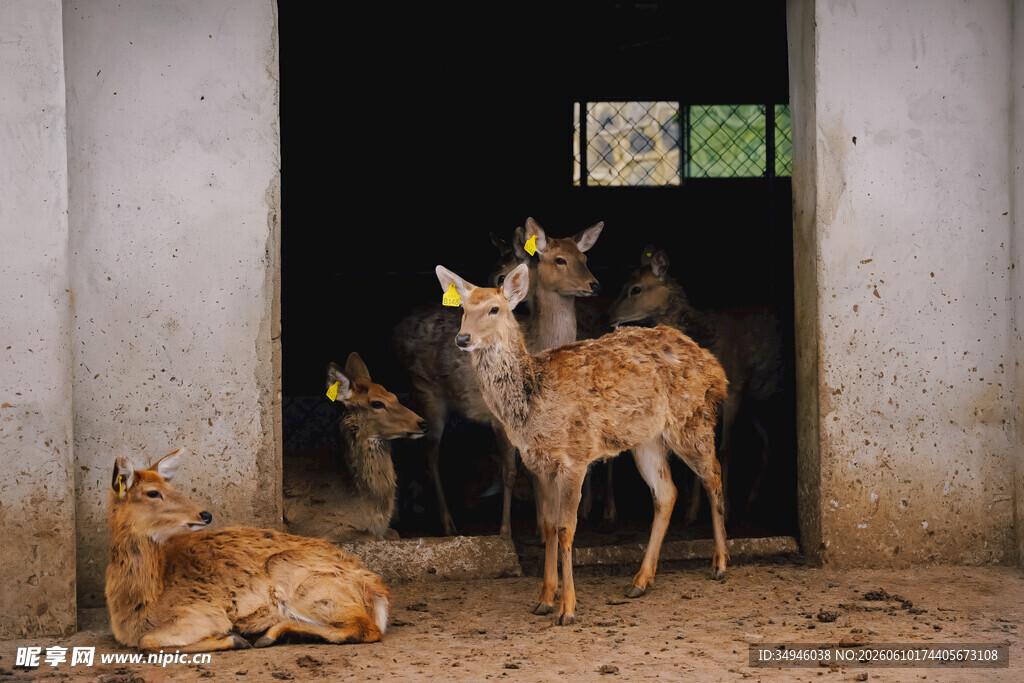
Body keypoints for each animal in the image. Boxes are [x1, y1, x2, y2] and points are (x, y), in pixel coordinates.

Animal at [105, 448, 390, 653]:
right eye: (153, 492)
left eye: (173, 487)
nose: (205, 514)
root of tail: (379, 593)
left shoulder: (203, 613)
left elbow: (149, 642)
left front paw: (232, 639)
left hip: (300, 578)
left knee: (365, 628)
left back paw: (265, 635)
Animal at [284, 352, 427, 543]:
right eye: (377, 403)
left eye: (394, 396)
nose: (422, 423)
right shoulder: (314, 525)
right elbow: (370, 536)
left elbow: (394, 533)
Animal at [393, 217, 603, 539]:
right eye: (560, 259)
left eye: (585, 258)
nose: (594, 284)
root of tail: (398, 329)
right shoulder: (498, 420)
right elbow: (510, 471)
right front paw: (505, 531)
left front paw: (542, 529)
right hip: (425, 390)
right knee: (430, 451)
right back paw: (445, 523)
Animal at [434, 262, 729, 625]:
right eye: (462, 309)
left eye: (494, 308)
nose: (463, 338)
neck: (532, 402)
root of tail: (713, 365)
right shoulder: (539, 463)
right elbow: (548, 526)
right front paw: (544, 600)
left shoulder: (575, 457)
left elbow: (566, 529)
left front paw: (568, 609)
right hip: (646, 437)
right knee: (666, 492)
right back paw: (640, 581)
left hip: (692, 418)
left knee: (713, 474)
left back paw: (719, 564)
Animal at [607, 246, 785, 522]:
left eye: (635, 288)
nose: (610, 315)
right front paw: (691, 511)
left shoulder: (734, 390)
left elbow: (724, 449)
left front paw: (725, 509)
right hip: (755, 405)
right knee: (768, 442)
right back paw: (751, 503)